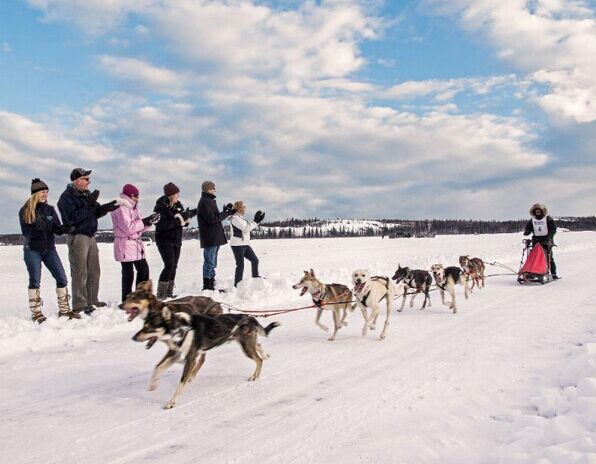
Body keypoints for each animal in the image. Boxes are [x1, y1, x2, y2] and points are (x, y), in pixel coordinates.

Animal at [133, 304, 280, 410]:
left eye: (149, 328)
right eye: (143, 326)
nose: (134, 337)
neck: (182, 328)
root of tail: (248, 317)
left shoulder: (190, 358)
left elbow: (181, 383)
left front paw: (172, 402)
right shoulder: (175, 353)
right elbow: (157, 367)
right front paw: (153, 384)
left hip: (246, 348)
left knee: (258, 360)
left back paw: (255, 375)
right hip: (247, 343)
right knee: (258, 346)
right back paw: (265, 354)